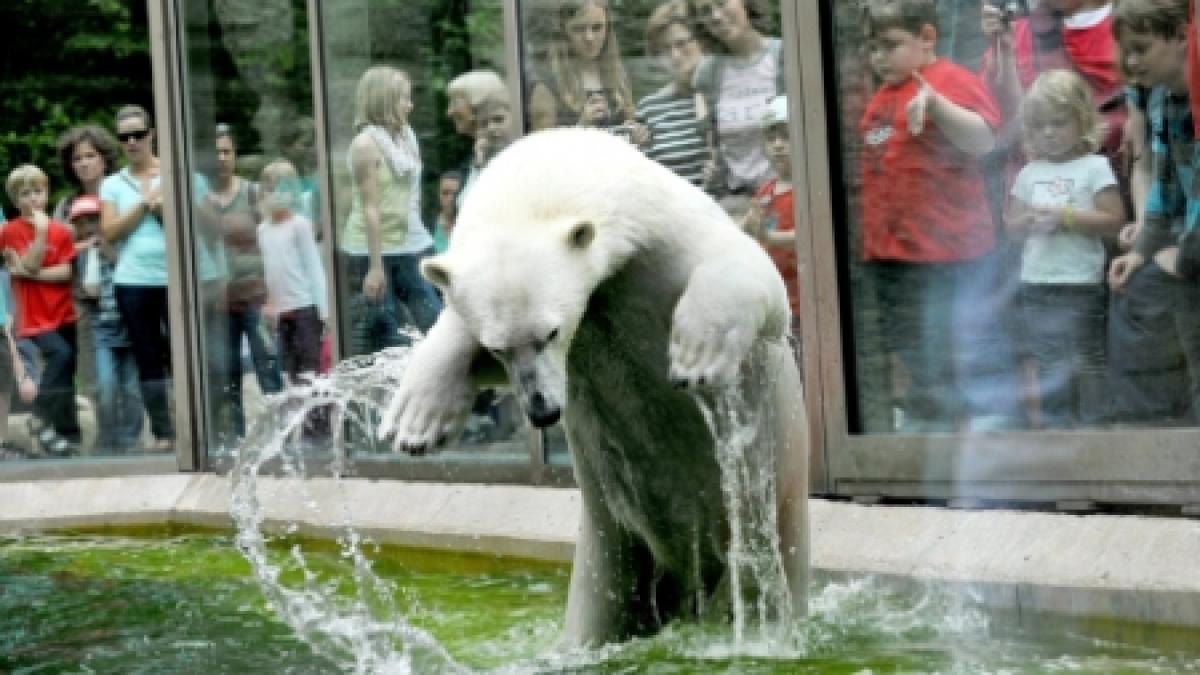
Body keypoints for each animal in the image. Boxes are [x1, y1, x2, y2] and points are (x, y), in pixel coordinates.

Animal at [379, 127, 811, 648]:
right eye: (499, 348)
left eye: (551, 332)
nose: (543, 410)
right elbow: (456, 330)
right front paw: (413, 425)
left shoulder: (664, 241)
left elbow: (752, 273)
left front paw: (696, 356)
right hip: (611, 547)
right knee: (601, 610)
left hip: (773, 510)